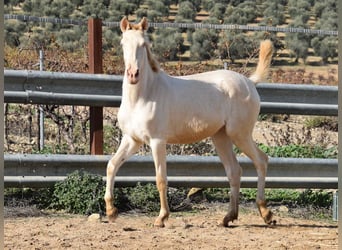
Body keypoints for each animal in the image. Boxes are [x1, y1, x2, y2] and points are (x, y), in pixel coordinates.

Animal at [104, 17, 276, 229]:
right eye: (123, 43)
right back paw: (228, 217)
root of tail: (249, 82)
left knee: (261, 161)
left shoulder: (157, 141)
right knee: (234, 171)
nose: (133, 74)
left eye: (144, 44)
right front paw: (111, 212)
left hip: (240, 134)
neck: (143, 96)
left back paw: (266, 213)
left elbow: (161, 178)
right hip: (221, 137)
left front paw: (162, 218)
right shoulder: (132, 139)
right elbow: (112, 165)